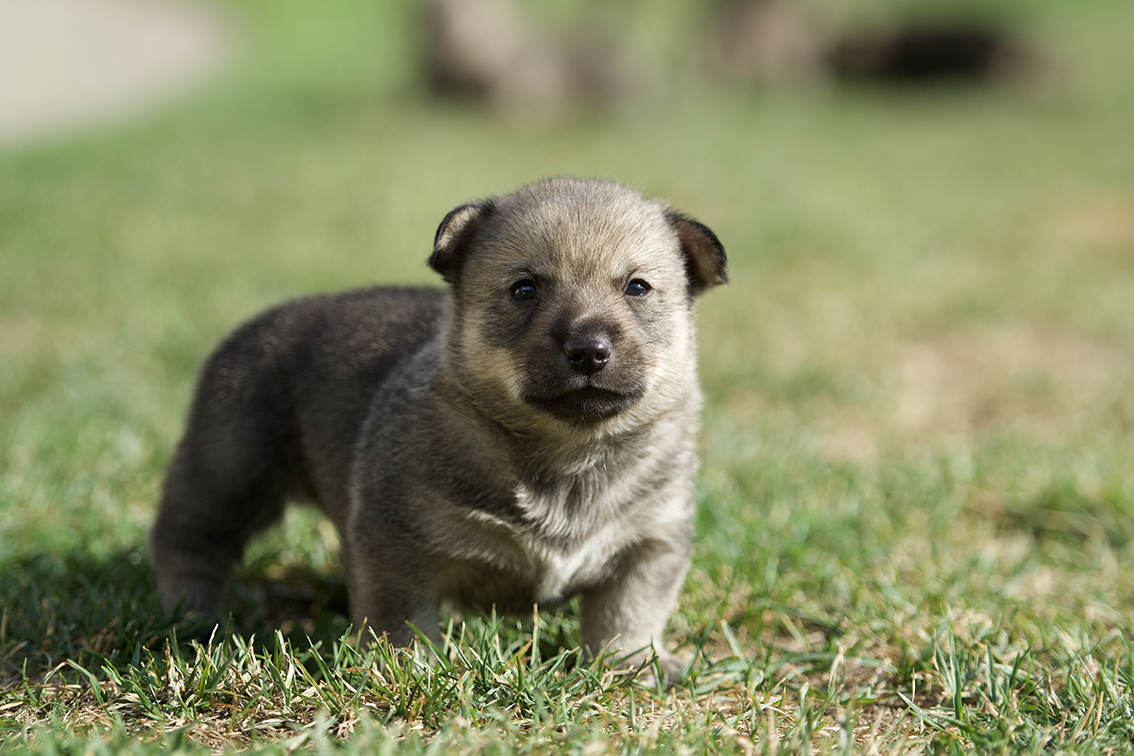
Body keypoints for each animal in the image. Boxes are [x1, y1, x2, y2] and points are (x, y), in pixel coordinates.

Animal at [151, 177, 726, 684]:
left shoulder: (651, 540)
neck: (567, 454)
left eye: (637, 287)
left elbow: (629, 615)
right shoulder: (398, 542)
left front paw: (633, 665)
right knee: (188, 540)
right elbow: (402, 618)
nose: (589, 350)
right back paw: (191, 615)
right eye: (525, 289)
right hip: (227, 470)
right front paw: (406, 667)